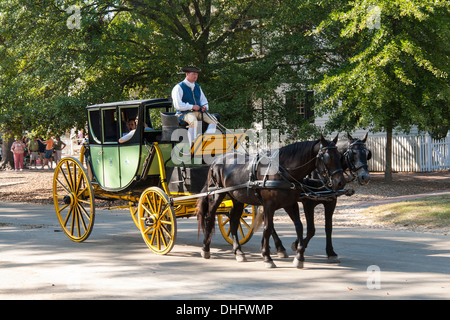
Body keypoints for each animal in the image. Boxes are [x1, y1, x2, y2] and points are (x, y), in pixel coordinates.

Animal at [195, 134, 346, 268]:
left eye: (340, 156)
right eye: (327, 157)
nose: (340, 182)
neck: (283, 171)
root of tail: (216, 161)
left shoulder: (291, 204)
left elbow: (300, 226)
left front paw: (299, 256)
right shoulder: (271, 205)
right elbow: (268, 228)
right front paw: (267, 257)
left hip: (237, 199)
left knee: (233, 221)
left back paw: (238, 252)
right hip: (216, 195)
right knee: (210, 218)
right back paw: (205, 249)